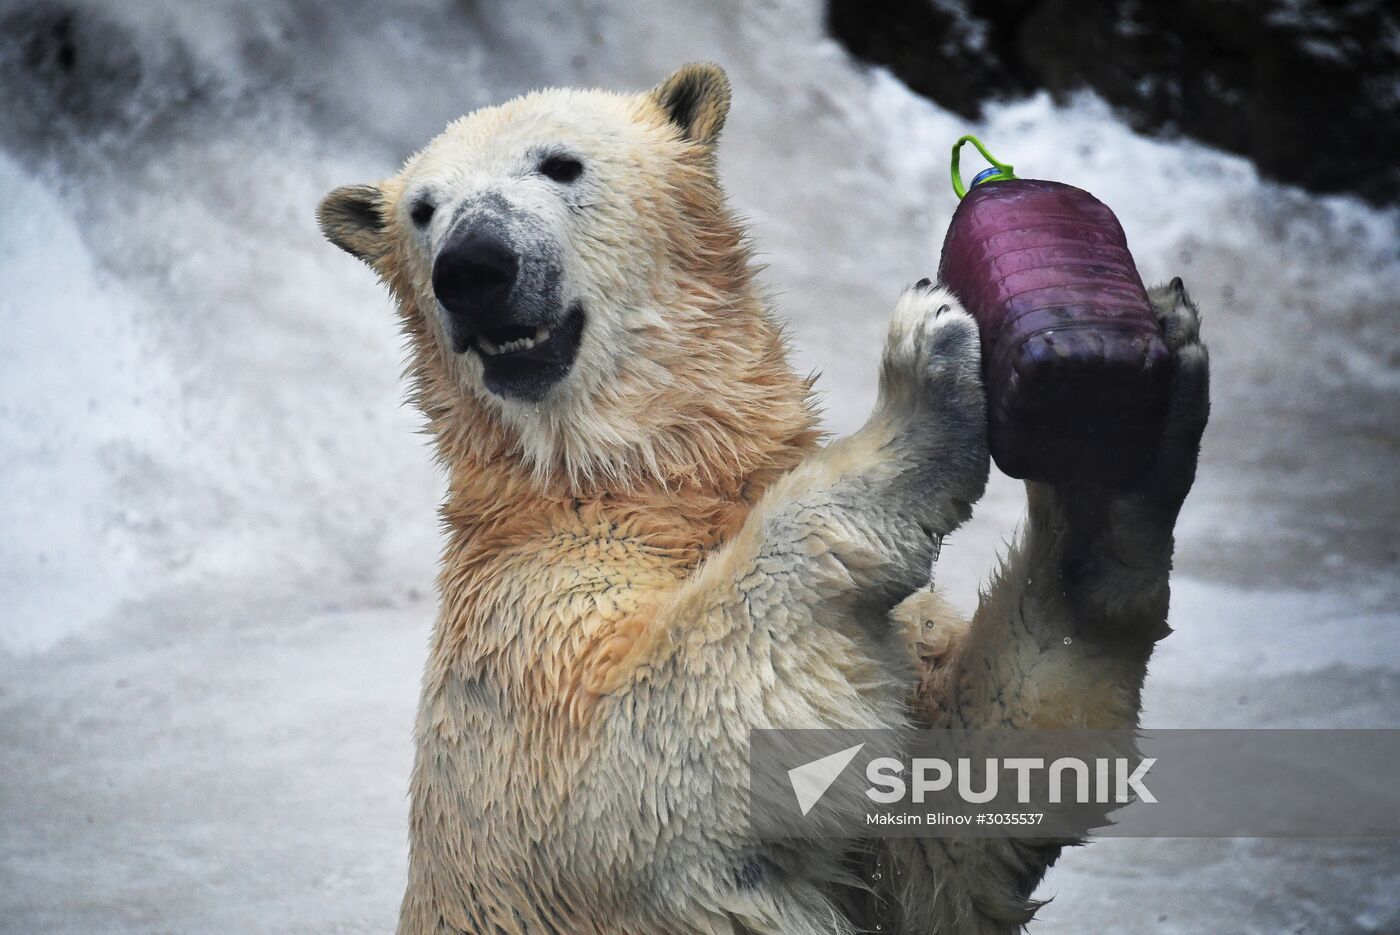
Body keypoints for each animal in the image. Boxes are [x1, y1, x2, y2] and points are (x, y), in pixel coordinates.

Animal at [317, 65, 1204, 935]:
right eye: (423, 211)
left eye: (560, 163)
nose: (472, 267)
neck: (629, 478)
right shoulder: (518, 634)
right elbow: (637, 760)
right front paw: (923, 375)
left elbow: (954, 814)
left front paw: (1116, 456)